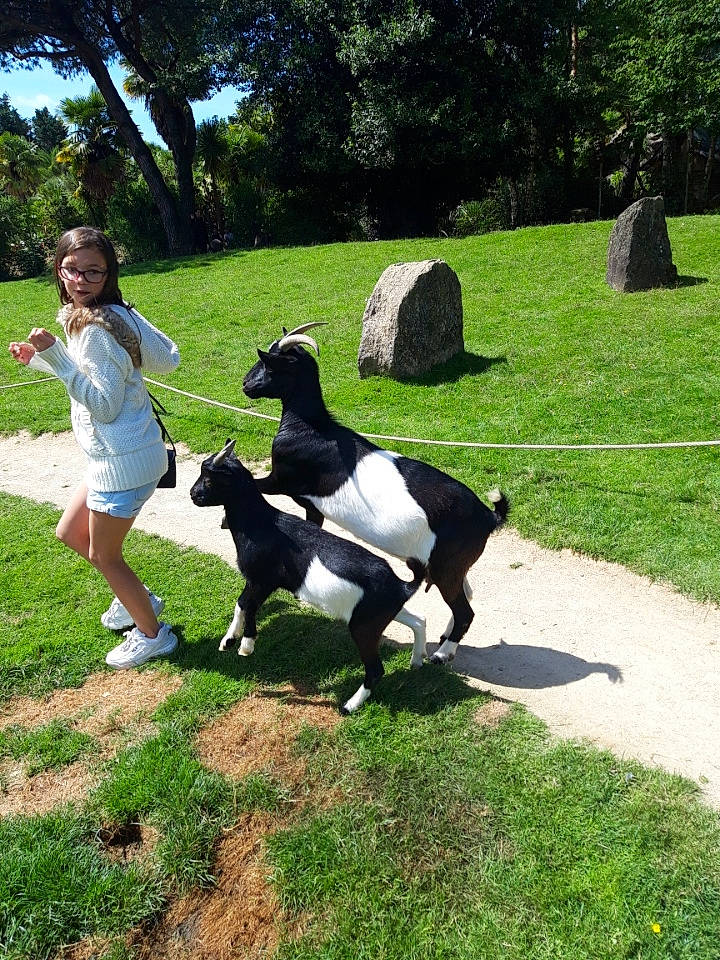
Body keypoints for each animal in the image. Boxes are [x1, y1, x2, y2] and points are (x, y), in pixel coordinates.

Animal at [190, 440, 427, 713]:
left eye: (209, 479)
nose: (192, 494)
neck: (261, 525)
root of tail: (402, 586)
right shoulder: (255, 580)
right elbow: (241, 603)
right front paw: (228, 640)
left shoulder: (265, 580)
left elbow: (248, 606)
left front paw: (246, 645)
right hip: (380, 613)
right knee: (419, 620)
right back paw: (417, 661)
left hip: (364, 627)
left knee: (376, 669)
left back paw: (349, 706)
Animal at [242, 323, 510, 666]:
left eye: (269, 364)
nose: (246, 385)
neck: (311, 427)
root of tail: (489, 516)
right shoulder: (312, 504)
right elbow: (312, 526)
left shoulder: (280, 480)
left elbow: (255, 483)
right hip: (455, 564)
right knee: (468, 595)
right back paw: (444, 640)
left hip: (446, 566)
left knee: (465, 610)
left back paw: (441, 654)